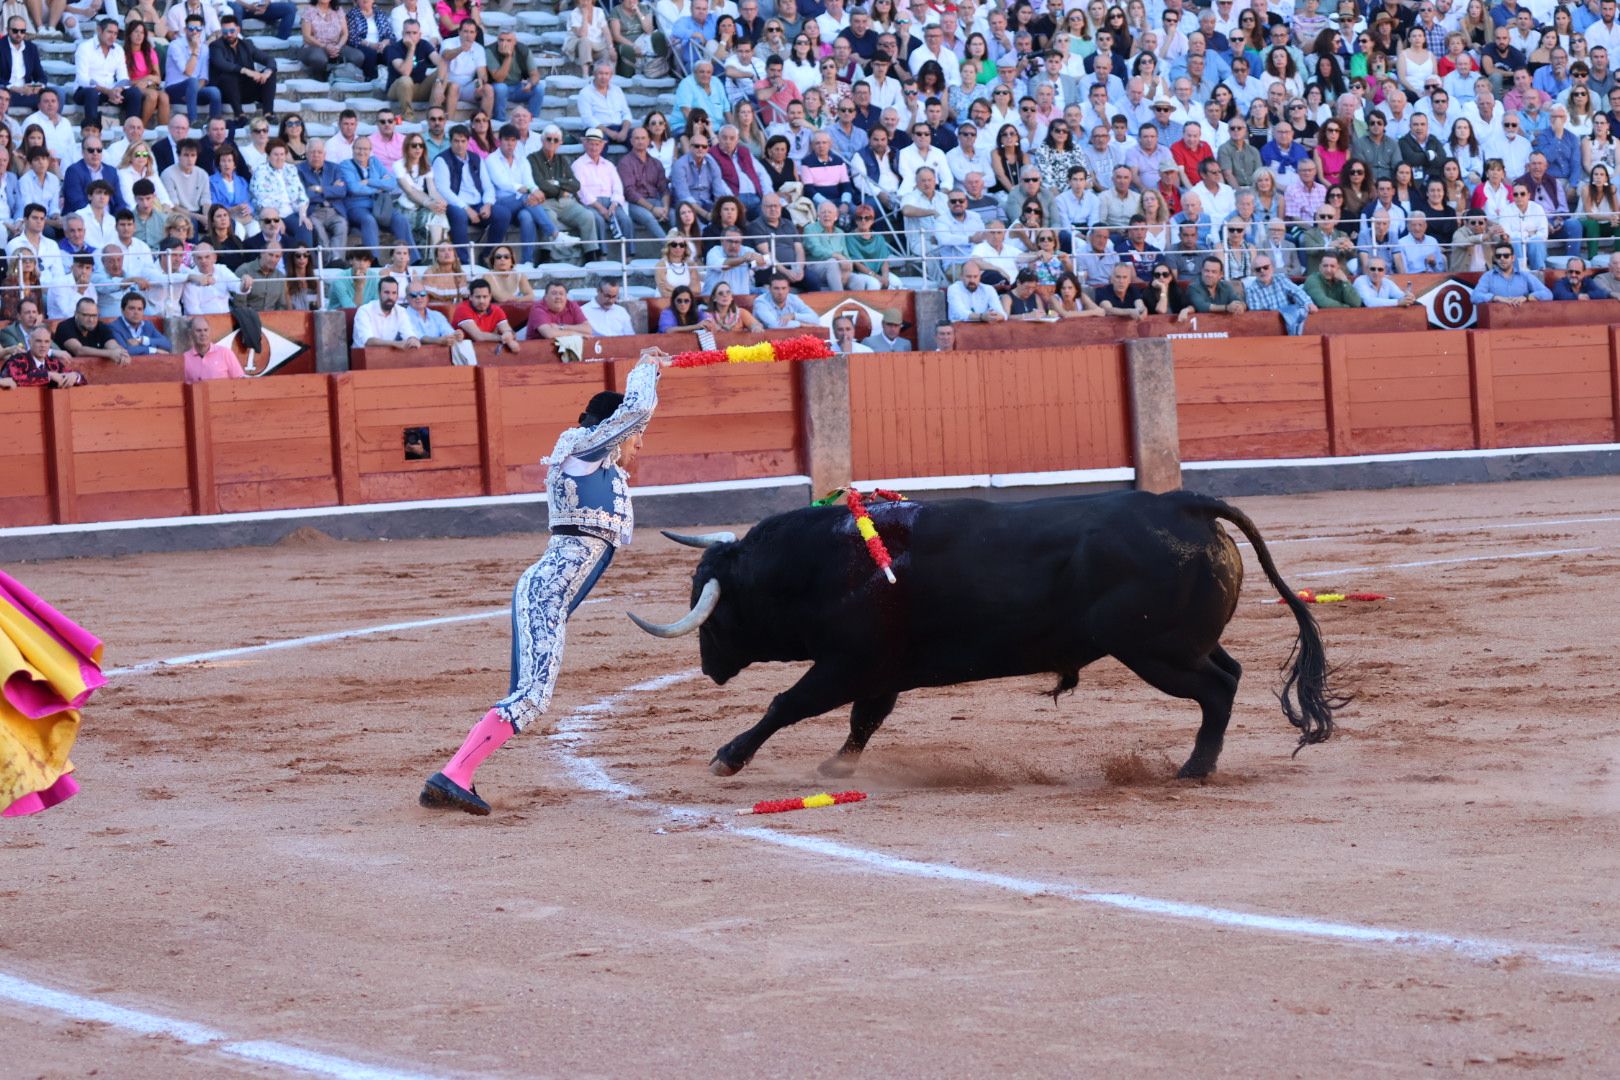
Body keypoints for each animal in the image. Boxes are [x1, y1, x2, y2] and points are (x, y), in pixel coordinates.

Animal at [625, 492, 1347, 786]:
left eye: (713, 614)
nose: (708, 666)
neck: (818, 564)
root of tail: (1183, 502)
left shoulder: (845, 663)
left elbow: (787, 704)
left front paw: (729, 757)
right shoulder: (880, 671)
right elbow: (865, 720)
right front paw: (837, 767)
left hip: (1155, 652)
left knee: (1217, 689)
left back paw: (1193, 769)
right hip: (1181, 642)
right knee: (1231, 673)